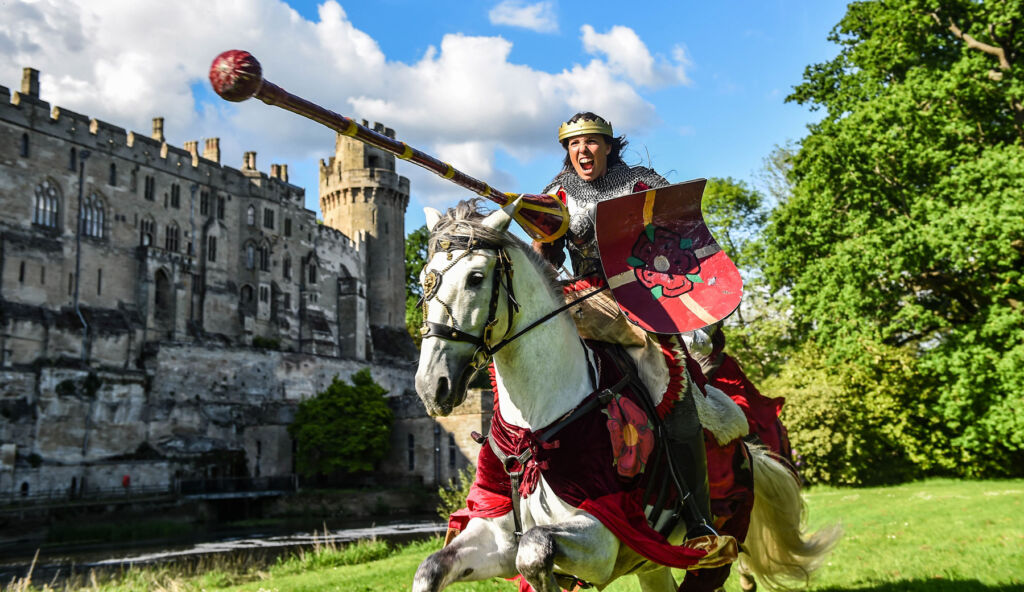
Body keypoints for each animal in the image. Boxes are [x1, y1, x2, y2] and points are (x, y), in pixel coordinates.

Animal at [411, 201, 835, 589]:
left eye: (476, 277)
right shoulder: (494, 537)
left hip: (714, 543)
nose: (432, 386)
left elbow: (533, 550)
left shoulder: (604, 538)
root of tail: (745, 444)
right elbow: (430, 568)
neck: (535, 424)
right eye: (424, 280)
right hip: (652, 565)